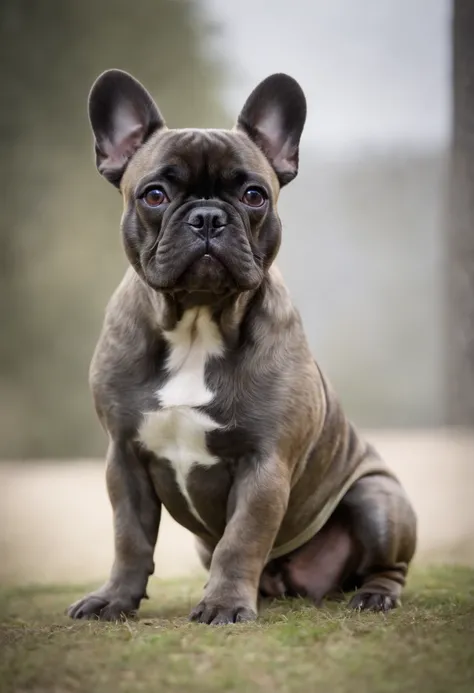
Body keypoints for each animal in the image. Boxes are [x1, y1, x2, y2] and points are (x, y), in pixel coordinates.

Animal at [68, 69, 416, 620]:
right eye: (154, 195)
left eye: (254, 195)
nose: (209, 217)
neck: (197, 323)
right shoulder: (124, 459)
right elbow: (130, 538)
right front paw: (113, 599)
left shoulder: (264, 464)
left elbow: (242, 538)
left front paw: (225, 604)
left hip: (377, 497)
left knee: (387, 561)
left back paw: (375, 595)